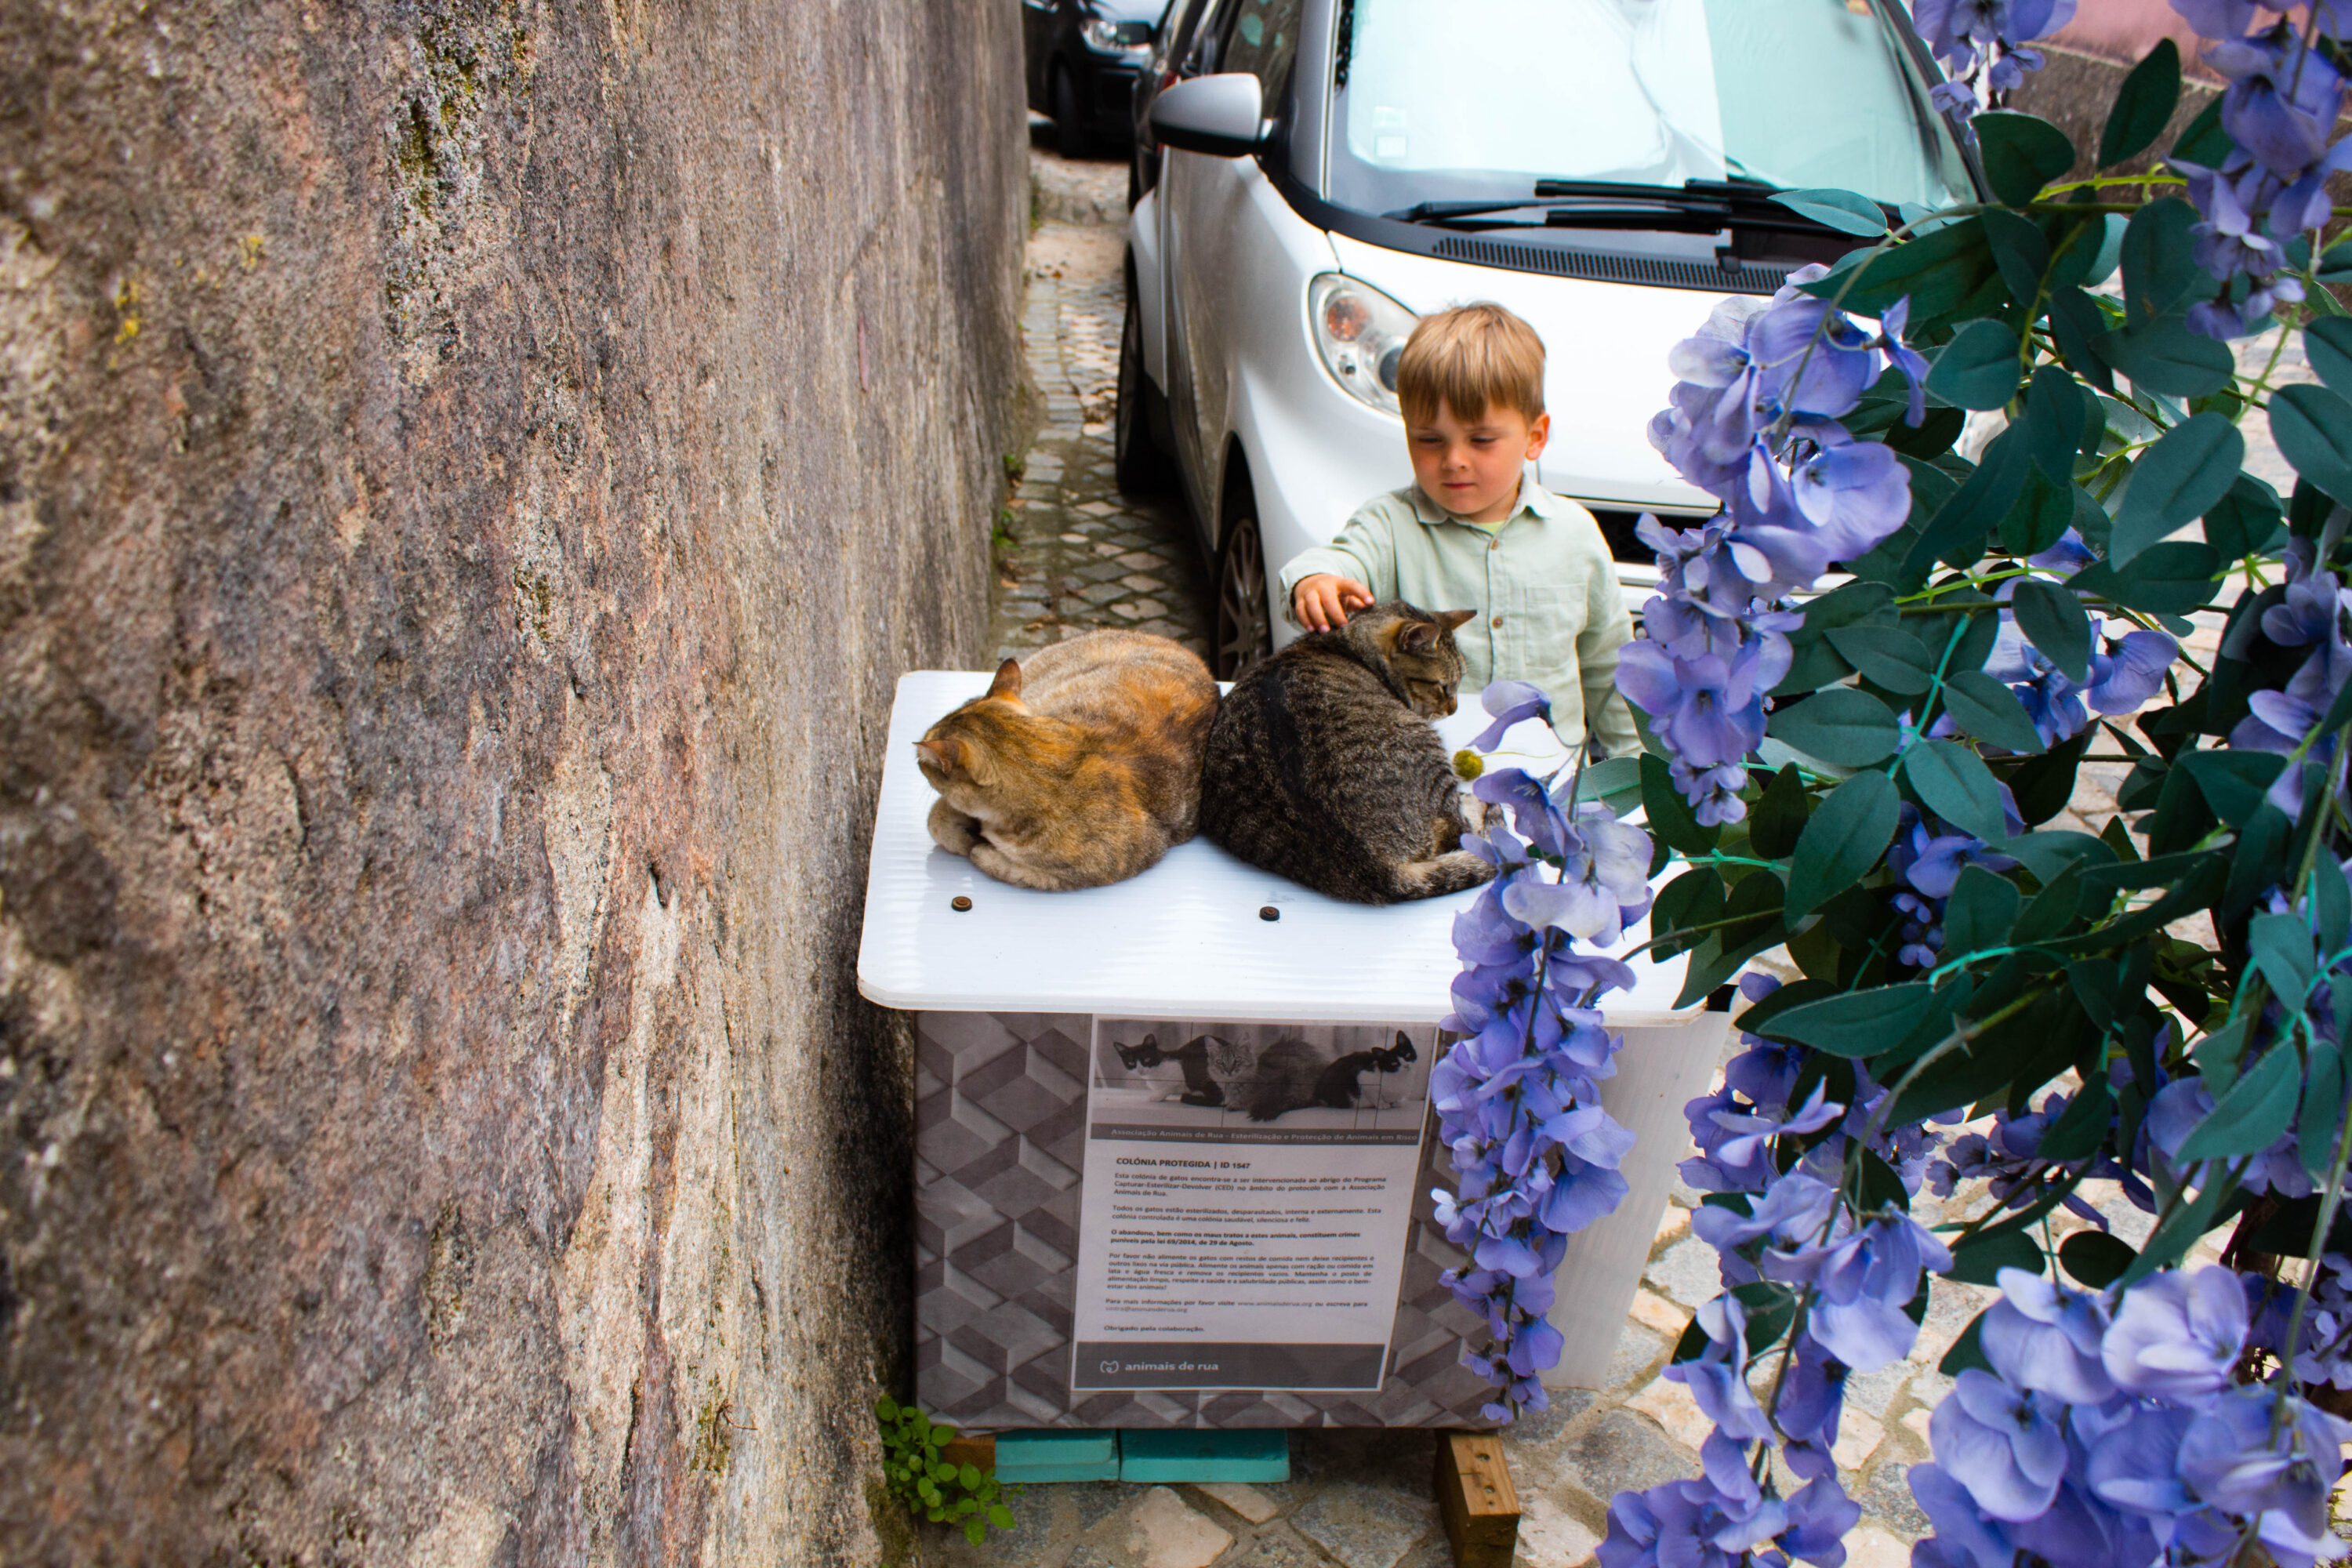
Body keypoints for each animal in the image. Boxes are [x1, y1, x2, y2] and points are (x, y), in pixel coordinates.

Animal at [913, 630, 1223, 893]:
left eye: (923, 763)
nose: (916, 757)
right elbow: (937, 820)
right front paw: (964, 833)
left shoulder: (1079, 873)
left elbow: (1016, 869)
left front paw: (980, 847)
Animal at [1195, 606, 1486, 907]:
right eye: (1444, 687)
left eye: (1458, 685)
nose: (1454, 709)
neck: (1345, 643)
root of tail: (1379, 868)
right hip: (1430, 751)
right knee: (1464, 829)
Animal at [1242, 1034, 1421, 1123]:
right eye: (1394, 1063)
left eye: (1407, 1055)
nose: (1407, 1066)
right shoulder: (1362, 1077)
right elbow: (1374, 1094)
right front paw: (1382, 1104)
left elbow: (1399, 1099)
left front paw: (1396, 1102)